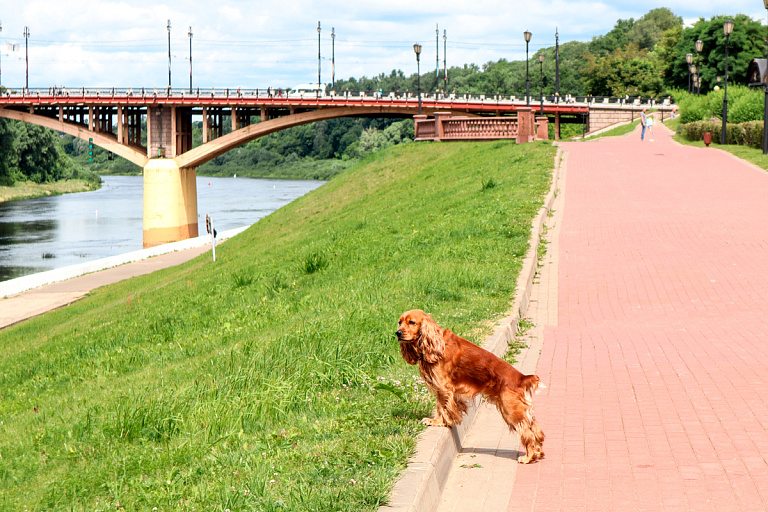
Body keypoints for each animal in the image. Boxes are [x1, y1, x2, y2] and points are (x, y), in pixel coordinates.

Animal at [396, 308, 544, 464]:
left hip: (510, 409)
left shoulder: (443, 386)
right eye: (400, 322)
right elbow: (441, 406)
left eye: (412, 322)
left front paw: (438, 422)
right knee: (535, 429)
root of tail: (522, 378)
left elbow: (442, 406)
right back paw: (538, 453)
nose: (397, 333)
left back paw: (528, 457)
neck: (436, 343)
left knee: (527, 432)